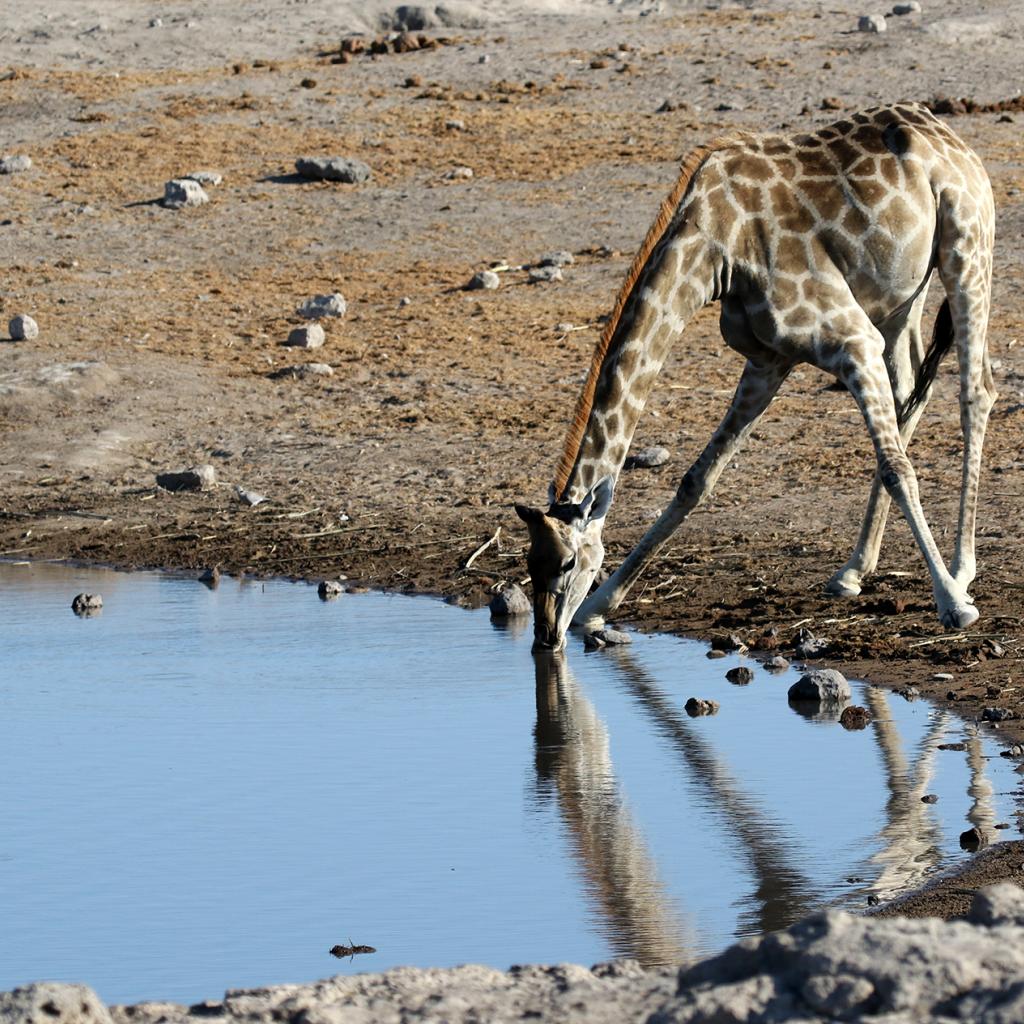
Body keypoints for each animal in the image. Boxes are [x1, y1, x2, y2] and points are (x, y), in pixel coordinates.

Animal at [516, 101, 995, 647]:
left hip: (967, 250)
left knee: (975, 393)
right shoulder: (769, 360)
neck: (716, 248)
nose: (546, 637)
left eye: (568, 562)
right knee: (910, 391)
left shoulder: (852, 341)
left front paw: (954, 606)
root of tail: (946, 134)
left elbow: (898, 469)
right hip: (899, 299)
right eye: (529, 563)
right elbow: (697, 479)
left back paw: (960, 571)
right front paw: (600, 606)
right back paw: (853, 570)